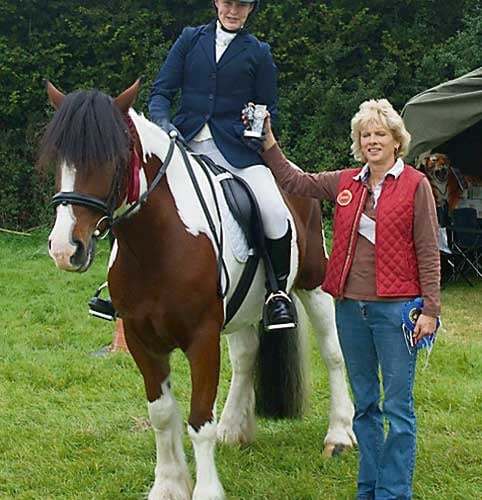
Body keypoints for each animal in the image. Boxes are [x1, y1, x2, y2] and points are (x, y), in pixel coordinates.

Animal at [40, 79, 355, 500]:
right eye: (58, 159)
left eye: (113, 158)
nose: (65, 248)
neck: (156, 244)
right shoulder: (141, 339)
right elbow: (161, 415)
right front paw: (168, 485)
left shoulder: (202, 337)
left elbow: (199, 419)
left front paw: (205, 490)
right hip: (242, 308)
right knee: (246, 356)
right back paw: (234, 429)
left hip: (313, 284)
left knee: (332, 352)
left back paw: (339, 435)